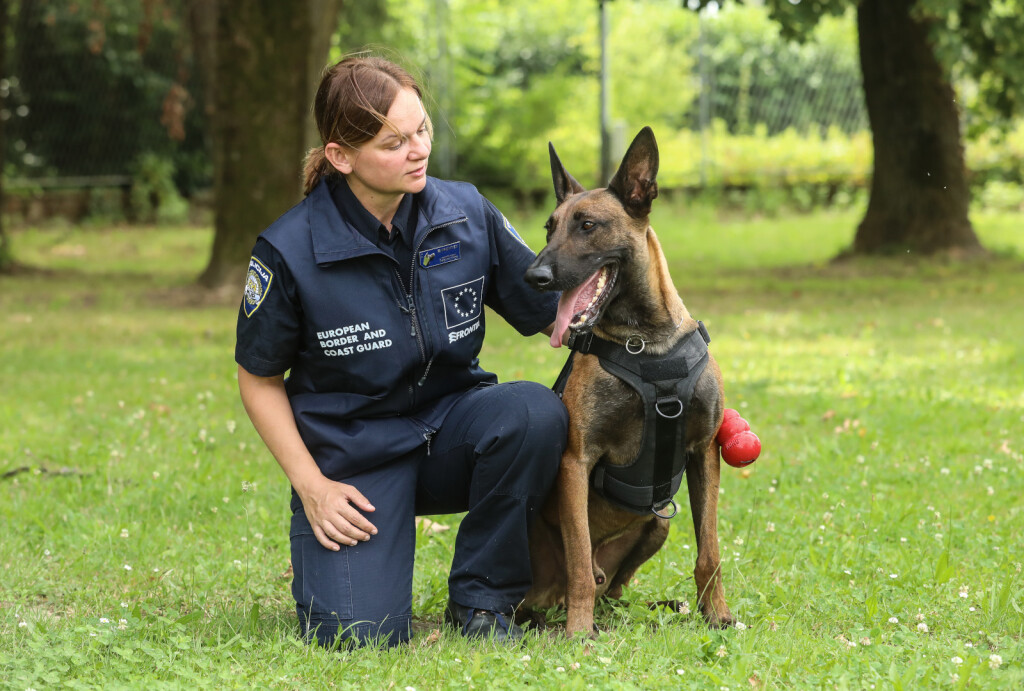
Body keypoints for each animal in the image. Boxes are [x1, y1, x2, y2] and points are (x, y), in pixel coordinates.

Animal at [524, 126, 733, 634]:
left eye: (587, 225)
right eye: (549, 228)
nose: (533, 275)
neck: (646, 344)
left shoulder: (704, 452)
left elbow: (709, 551)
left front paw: (716, 614)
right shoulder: (576, 462)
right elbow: (579, 557)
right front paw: (579, 632)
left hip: (658, 525)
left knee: (615, 589)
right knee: (577, 578)